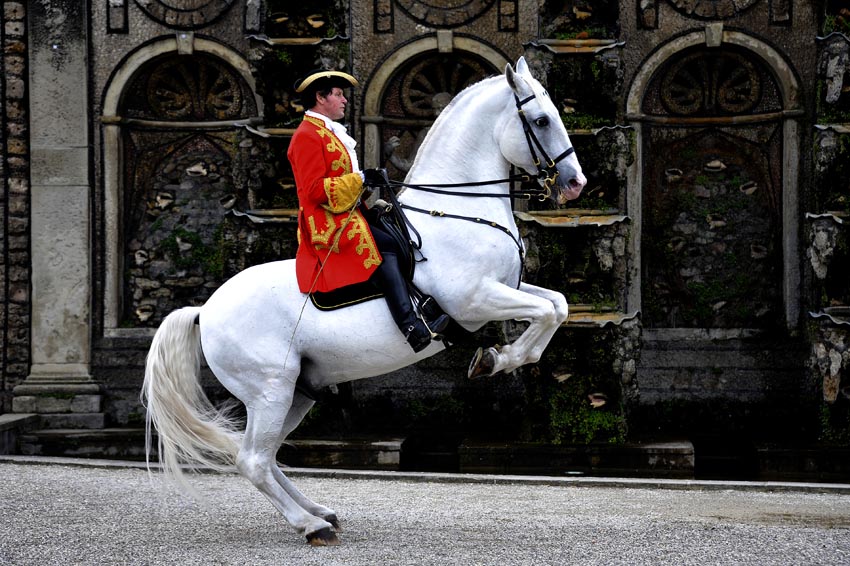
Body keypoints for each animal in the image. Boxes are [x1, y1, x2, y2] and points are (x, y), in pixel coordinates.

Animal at [142, 56, 586, 545]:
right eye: (541, 121)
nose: (575, 183)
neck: (457, 214)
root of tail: (205, 310)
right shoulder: (474, 301)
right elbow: (545, 312)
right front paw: (495, 359)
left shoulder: (508, 287)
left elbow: (558, 305)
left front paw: (499, 357)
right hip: (270, 389)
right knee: (253, 460)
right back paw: (312, 525)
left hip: (295, 392)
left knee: (266, 455)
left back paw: (319, 510)